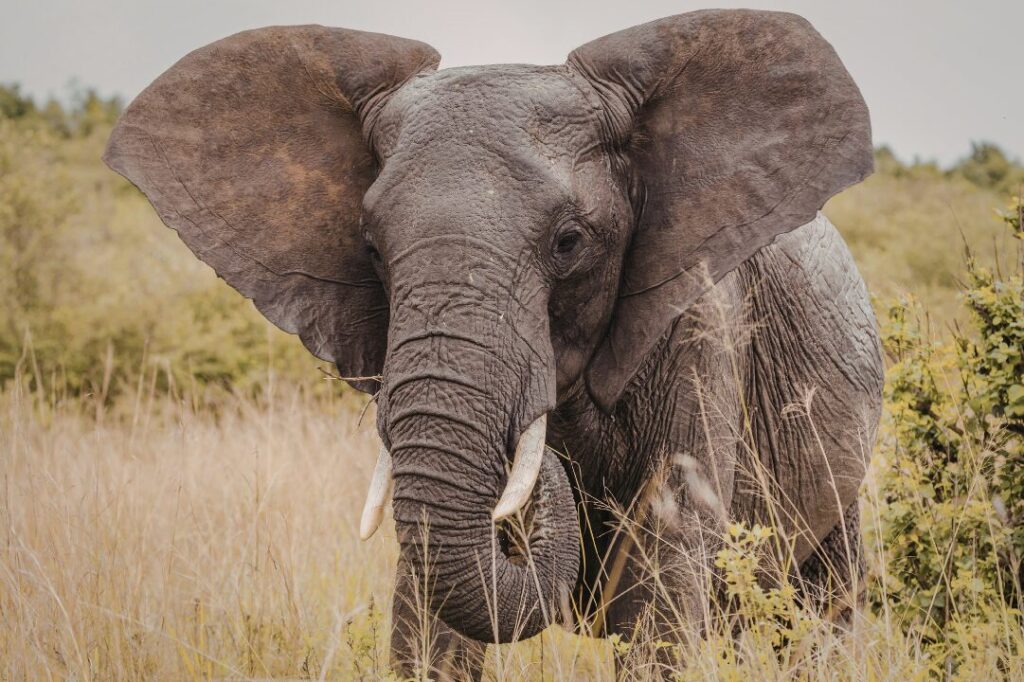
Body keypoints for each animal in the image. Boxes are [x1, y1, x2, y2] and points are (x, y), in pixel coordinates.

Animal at [104, 9, 883, 679]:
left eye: (569, 242)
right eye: (371, 249)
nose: (550, 479)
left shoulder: (701, 322)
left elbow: (666, 564)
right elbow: (429, 613)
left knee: (823, 606)